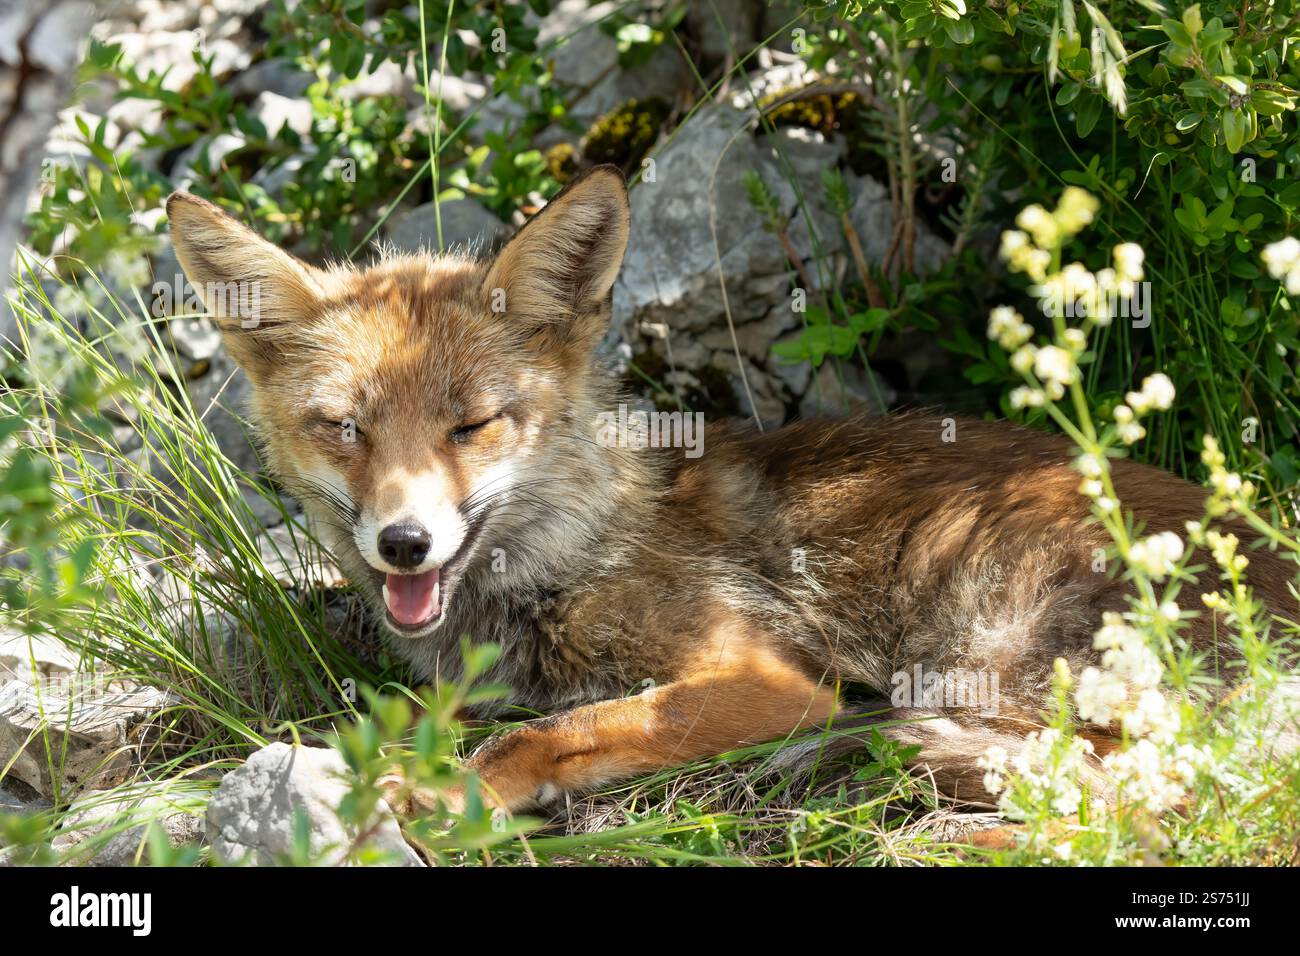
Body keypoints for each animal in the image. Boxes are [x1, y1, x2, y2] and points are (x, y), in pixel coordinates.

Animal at [165, 166, 1298, 817]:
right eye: (344, 428)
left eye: (471, 425)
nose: (403, 543)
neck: (570, 551)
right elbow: (429, 718)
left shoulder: (762, 675)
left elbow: (551, 729)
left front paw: (441, 794)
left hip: (974, 651)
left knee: (1153, 788)